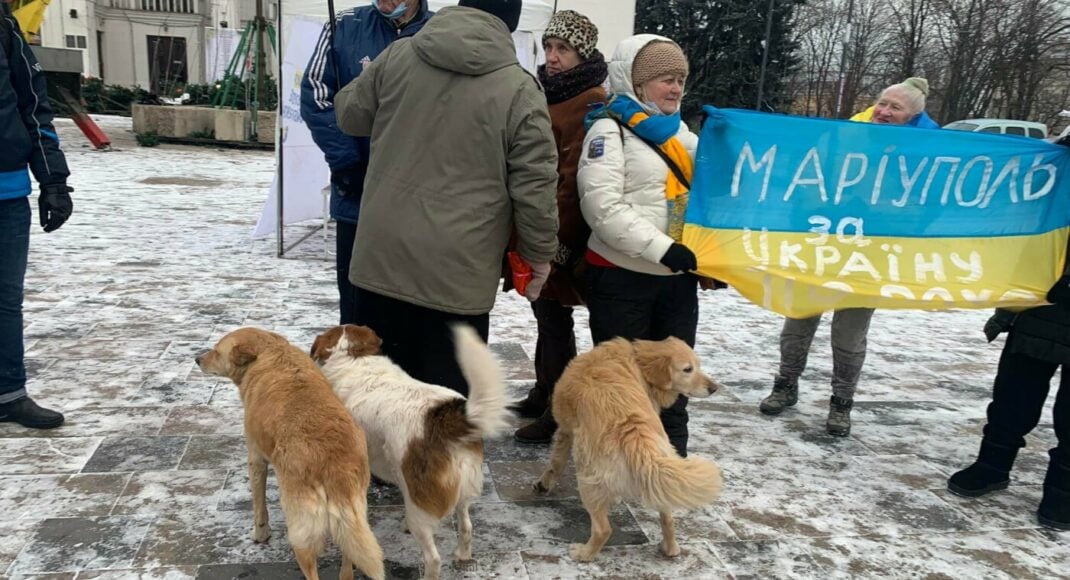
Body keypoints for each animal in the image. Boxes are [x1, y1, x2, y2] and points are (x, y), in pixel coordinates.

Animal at [196, 329, 385, 580]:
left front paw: (260, 535)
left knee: (311, 569)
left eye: (216, 351)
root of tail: (332, 462)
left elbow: (259, 506)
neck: (269, 351)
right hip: (354, 517)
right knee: (348, 562)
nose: (196, 359)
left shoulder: (255, 458)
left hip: (301, 527)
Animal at [312, 325, 511, 580]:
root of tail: (445, 420)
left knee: (433, 559)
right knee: (467, 527)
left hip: (420, 507)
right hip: (463, 489)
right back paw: (462, 554)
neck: (354, 358)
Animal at [535, 336, 727, 565]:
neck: (638, 360)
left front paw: (543, 484)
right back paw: (670, 548)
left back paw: (583, 554)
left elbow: (555, 464)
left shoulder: (566, 430)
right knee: (668, 518)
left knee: (603, 530)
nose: (714, 388)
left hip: (586, 475)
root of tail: (632, 431)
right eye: (688, 369)